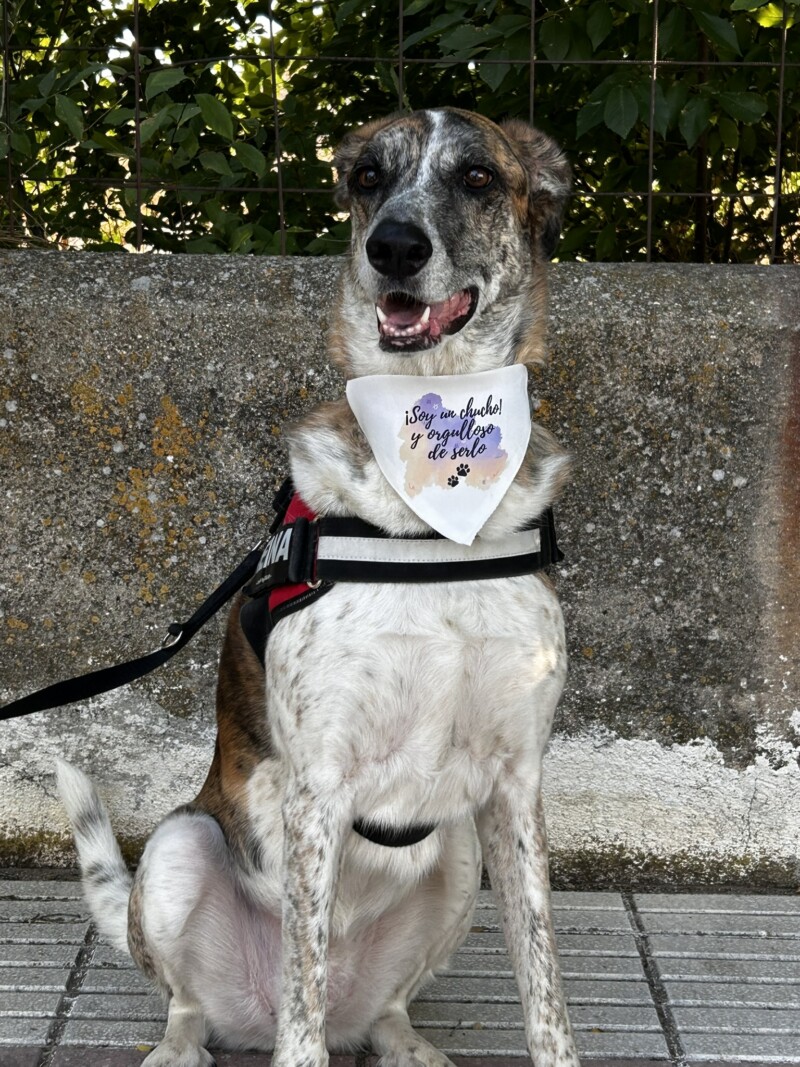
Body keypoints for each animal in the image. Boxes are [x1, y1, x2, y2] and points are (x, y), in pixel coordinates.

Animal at [57, 110, 584, 1067]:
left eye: (479, 178)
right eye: (368, 176)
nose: (395, 247)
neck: (432, 502)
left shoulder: (515, 782)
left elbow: (544, 986)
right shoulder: (318, 789)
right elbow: (301, 995)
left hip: (458, 854)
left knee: (384, 1008)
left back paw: (406, 1042)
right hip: (182, 846)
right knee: (200, 1001)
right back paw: (178, 1046)